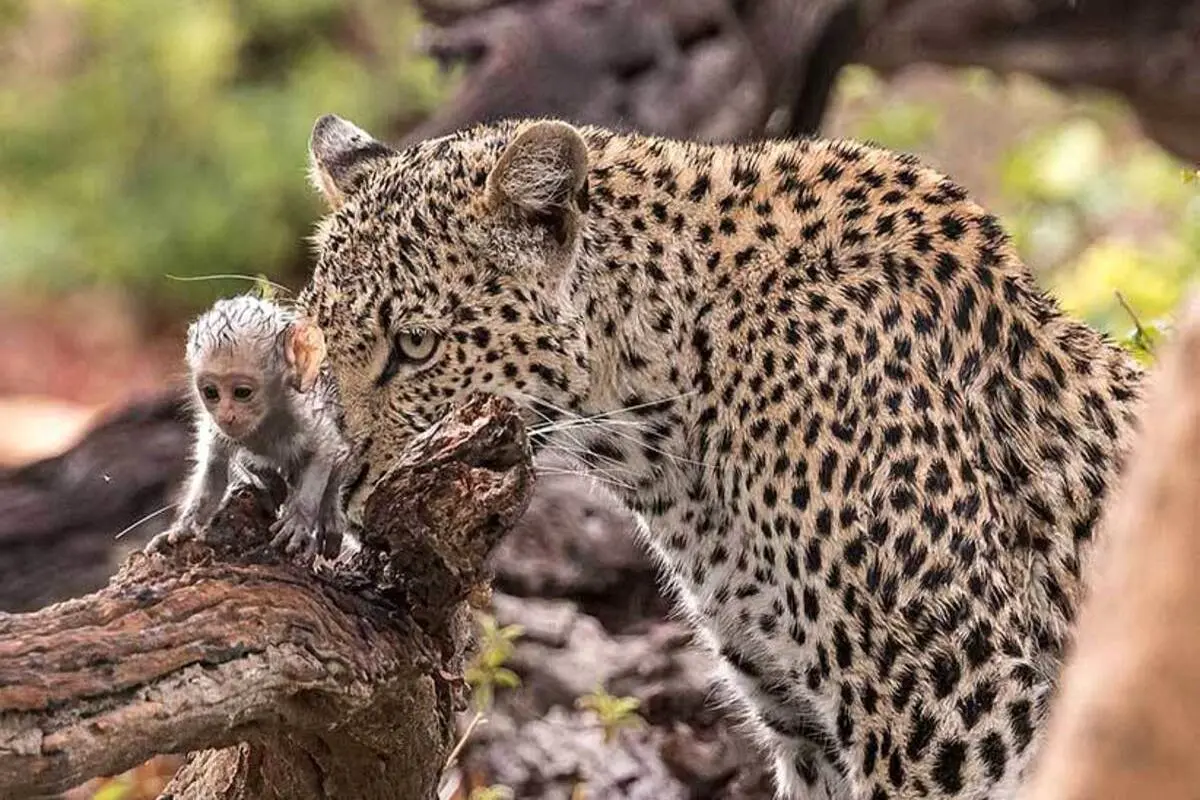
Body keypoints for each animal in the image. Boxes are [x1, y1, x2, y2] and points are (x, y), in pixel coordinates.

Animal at [147, 292, 350, 556]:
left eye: (242, 392)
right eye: (211, 392)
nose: (226, 415)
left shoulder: (304, 414)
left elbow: (325, 448)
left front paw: (299, 519)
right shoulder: (216, 431)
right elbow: (213, 470)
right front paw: (185, 527)